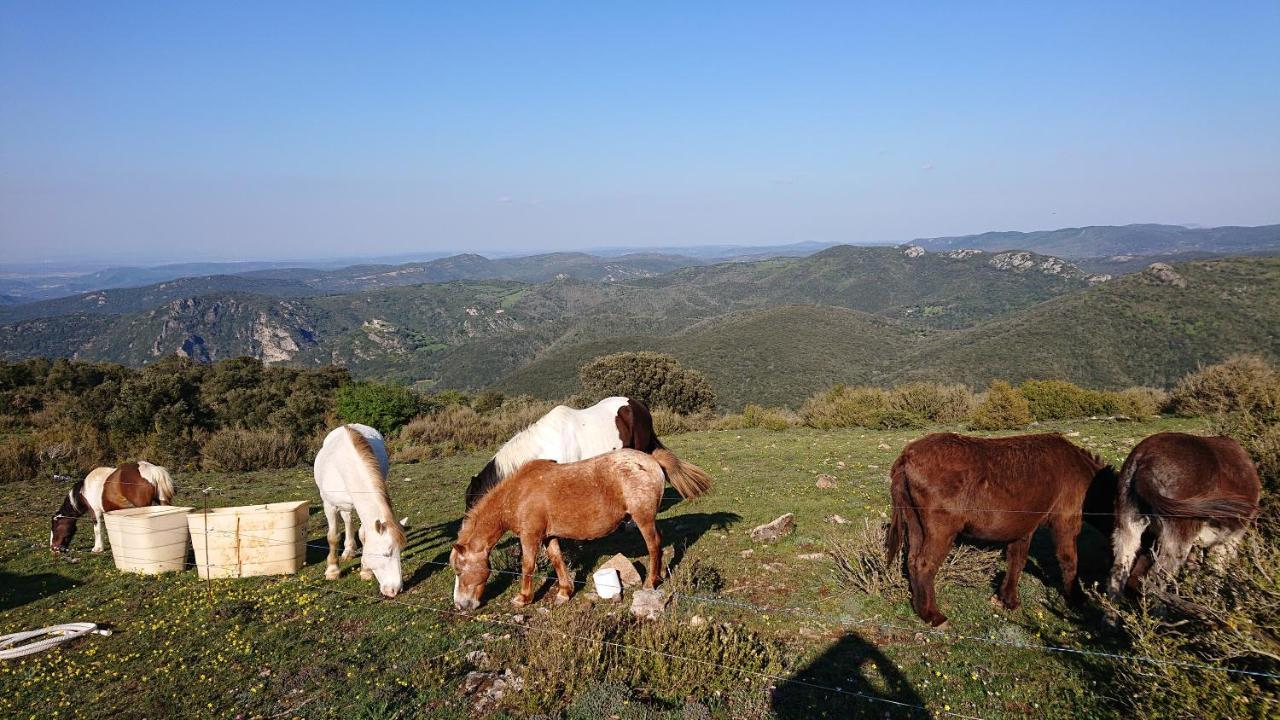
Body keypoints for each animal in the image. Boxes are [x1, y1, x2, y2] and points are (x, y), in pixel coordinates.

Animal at [313, 422, 404, 597]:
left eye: (400, 551)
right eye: (386, 553)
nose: (395, 590)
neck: (345, 465)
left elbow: (364, 535)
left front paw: (365, 570)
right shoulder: (329, 505)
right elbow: (333, 537)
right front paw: (332, 570)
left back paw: (350, 549)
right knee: (347, 519)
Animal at [885, 430, 1116, 622]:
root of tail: (906, 456)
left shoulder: (1024, 526)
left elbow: (1017, 560)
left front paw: (1008, 599)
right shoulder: (1066, 521)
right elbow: (1069, 560)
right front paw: (1077, 599)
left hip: (915, 521)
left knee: (912, 560)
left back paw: (920, 609)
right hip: (941, 528)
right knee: (924, 564)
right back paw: (933, 616)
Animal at [1105, 430, 1264, 594]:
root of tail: (1145, 460)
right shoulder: (1227, 541)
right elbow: (1216, 575)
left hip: (1127, 525)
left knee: (1118, 570)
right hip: (1178, 539)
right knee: (1155, 579)